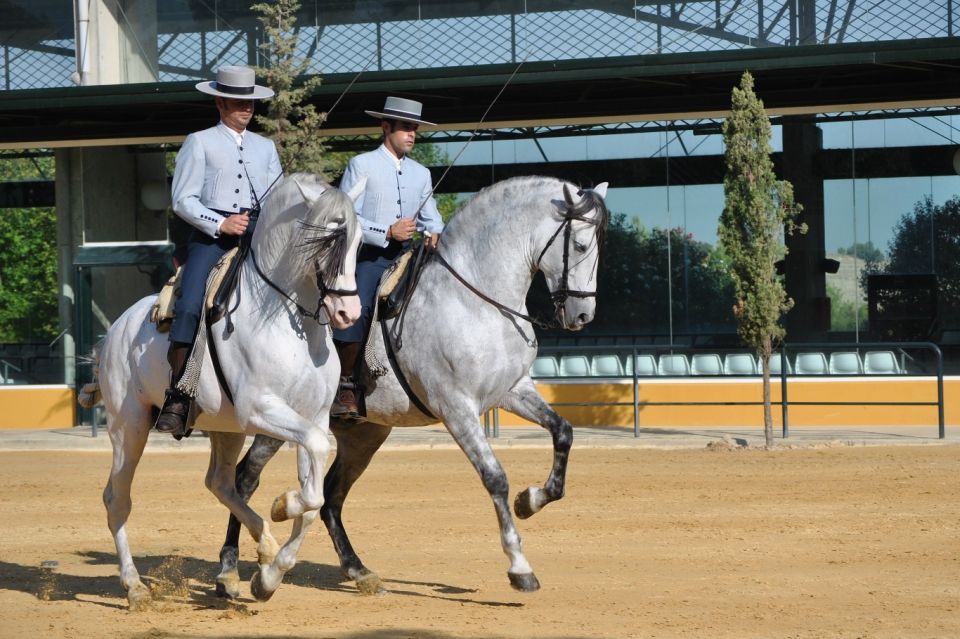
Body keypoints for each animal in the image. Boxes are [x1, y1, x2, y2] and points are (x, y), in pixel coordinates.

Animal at [86, 173, 363, 609]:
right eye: (321, 241)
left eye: (358, 241)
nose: (347, 313)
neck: (289, 319)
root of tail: (116, 329)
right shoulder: (263, 409)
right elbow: (313, 480)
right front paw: (283, 505)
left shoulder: (312, 417)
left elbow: (314, 500)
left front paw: (269, 576)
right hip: (129, 427)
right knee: (117, 498)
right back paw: (135, 587)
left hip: (225, 429)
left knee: (220, 483)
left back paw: (263, 546)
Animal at [214, 175, 610, 596]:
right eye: (580, 245)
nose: (582, 316)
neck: (476, 299)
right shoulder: (457, 408)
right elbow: (495, 477)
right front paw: (519, 566)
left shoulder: (512, 390)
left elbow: (563, 432)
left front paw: (531, 499)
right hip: (281, 417)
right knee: (244, 479)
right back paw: (230, 570)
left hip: (364, 434)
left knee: (332, 495)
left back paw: (357, 569)